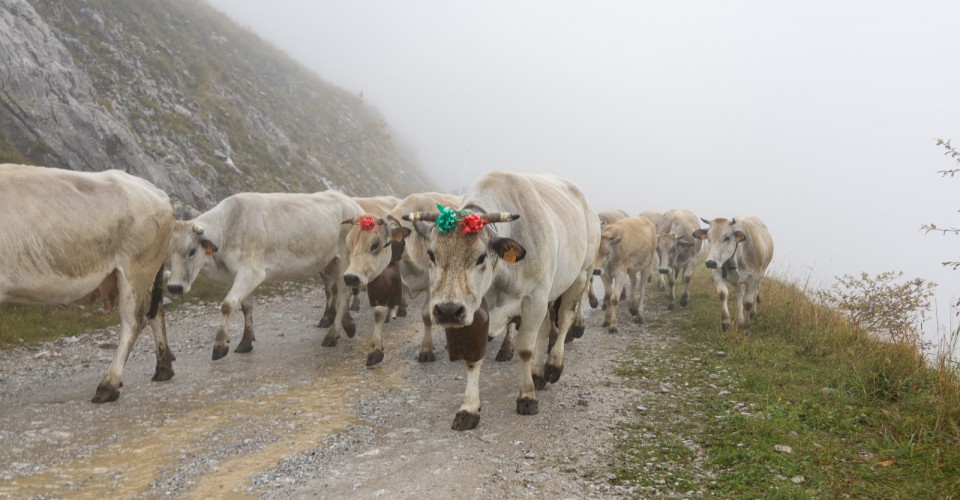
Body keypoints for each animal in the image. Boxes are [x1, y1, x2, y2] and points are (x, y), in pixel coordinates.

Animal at [0, 164, 175, 402]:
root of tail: (156, 192)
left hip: (135, 267)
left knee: (134, 322)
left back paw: (108, 385)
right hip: (146, 271)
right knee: (155, 312)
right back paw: (163, 368)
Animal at [165, 190, 360, 360]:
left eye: (192, 251)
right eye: (168, 253)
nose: (174, 287)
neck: (229, 226)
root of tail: (353, 204)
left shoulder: (252, 271)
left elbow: (227, 305)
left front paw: (220, 345)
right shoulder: (238, 274)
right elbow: (246, 307)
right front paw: (245, 341)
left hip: (345, 259)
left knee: (343, 295)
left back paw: (332, 335)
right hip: (331, 263)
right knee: (341, 292)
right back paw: (348, 324)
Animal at [404, 172, 600, 430]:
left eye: (481, 257)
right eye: (431, 254)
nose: (447, 311)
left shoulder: (534, 298)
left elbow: (525, 348)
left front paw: (526, 397)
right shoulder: (476, 310)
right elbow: (473, 358)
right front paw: (468, 408)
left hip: (580, 276)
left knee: (565, 319)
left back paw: (553, 366)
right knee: (546, 326)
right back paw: (538, 374)